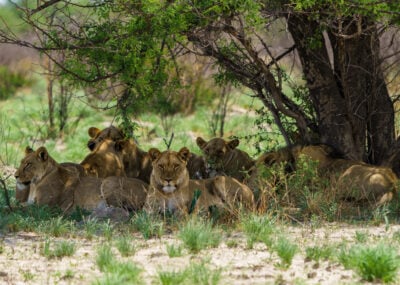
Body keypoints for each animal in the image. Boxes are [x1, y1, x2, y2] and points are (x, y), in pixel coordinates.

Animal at [14, 146, 149, 211]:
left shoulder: (44, 206)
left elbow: (19, 206)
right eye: (21, 163)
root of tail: (148, 187)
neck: (34, 184)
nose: (15, 176)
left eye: (28, 164)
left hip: (108, 182)